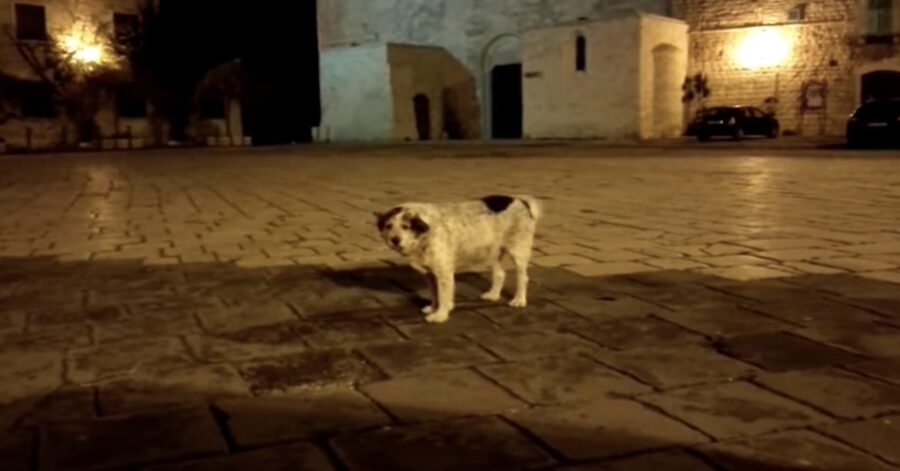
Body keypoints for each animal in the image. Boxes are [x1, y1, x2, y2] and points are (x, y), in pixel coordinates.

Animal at [374, 195, 540, 324]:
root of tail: (521, 200)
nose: (394, 240)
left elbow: (443, 296)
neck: (426, 232)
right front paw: (433, 309)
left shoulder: (444, 273)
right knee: (500, 273)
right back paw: (493, 294)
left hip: (518, 252)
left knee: (523, 277)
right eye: (388, 226)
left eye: (405, 226)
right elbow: (435, 294)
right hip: (491, 253)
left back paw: (519, 300)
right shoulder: (431, 274)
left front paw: (440, 315)